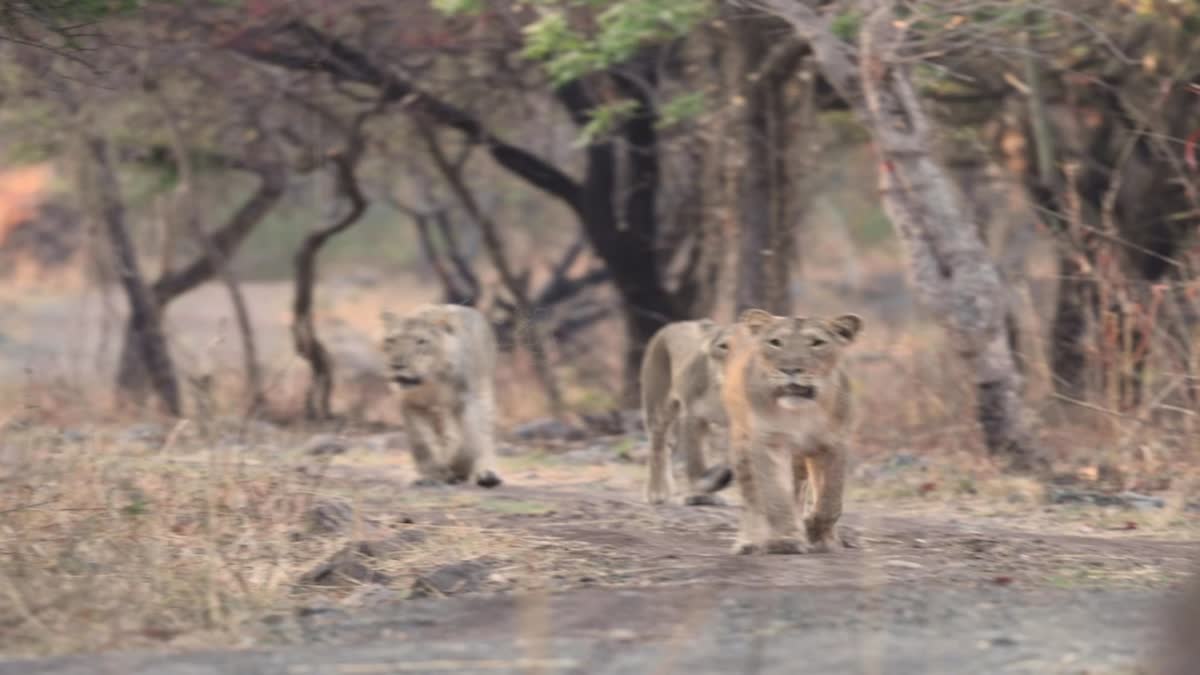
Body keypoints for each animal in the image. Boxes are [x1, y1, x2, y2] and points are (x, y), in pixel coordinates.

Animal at [379, 302, 501, 485]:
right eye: (391, 340)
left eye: (421, 341)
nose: (397, 365)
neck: (430, 383)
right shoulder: (411, 405)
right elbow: (422, 442)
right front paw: (431, 474)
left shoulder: (464, 401)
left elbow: (468, 441)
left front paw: (459, 468)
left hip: (483, 392)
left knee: (483, 434)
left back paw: (485, 474)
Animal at [643, 319, 734, 504]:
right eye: (723, 346)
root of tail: (673, 325)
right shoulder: (693, 416)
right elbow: (696, 461)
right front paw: (704, 490)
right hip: (659, 407)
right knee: (657, 446)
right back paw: (657, 493)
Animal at [720, 307, 864, 554]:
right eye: (776, 342)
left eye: (817, 342)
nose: (790, 370)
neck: (801, 414)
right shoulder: (768, 442)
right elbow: (776, 495)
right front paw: (785, 540)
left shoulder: (834, 443)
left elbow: (831, 499)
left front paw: (817, 532)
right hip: (742, 443)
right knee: (752, 497)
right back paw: (749, 542)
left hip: (802, 457)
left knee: (801, 489)